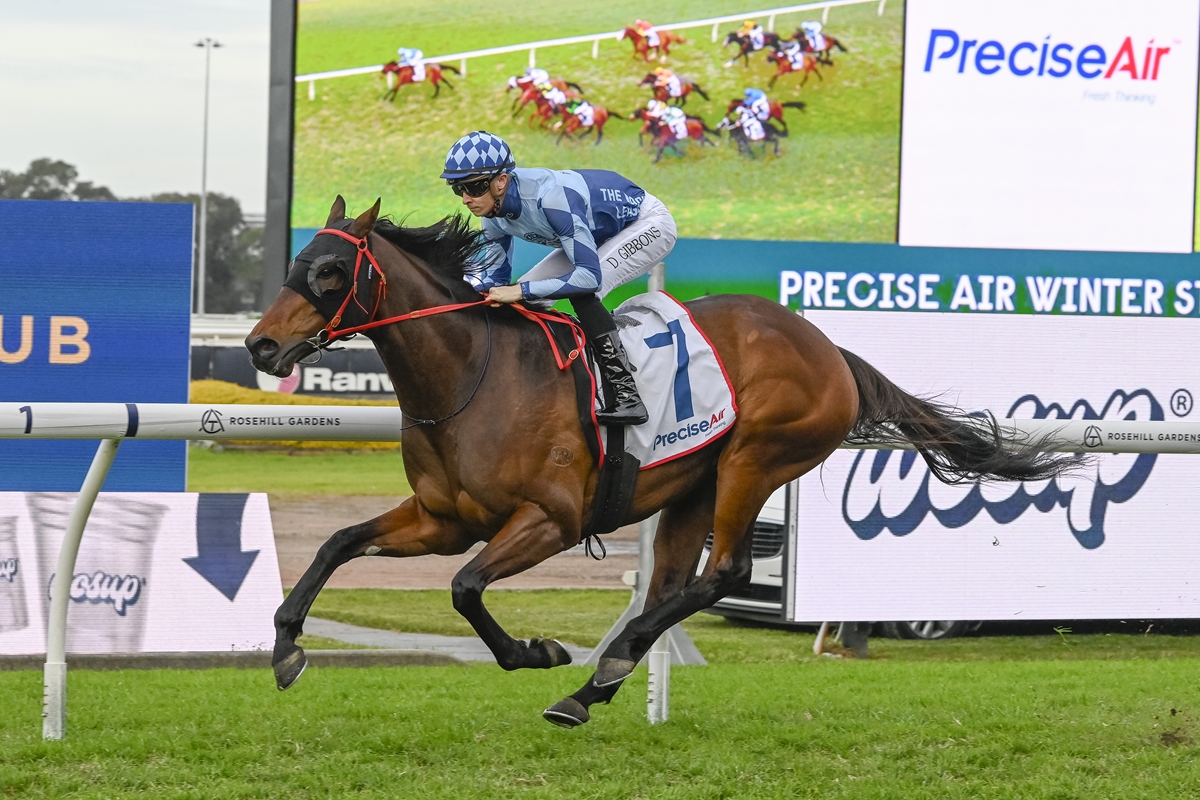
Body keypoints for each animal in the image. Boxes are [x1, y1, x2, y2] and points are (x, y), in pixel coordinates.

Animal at [246, 197, 1076, 728]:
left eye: (329, 272)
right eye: (295, 262)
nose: (259, 345)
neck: (472, 376)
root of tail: (826, 345)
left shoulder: (551, 519)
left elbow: (465, 588)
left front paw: (536, 650)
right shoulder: (442, 519)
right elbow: (337, 544)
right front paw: (286, 648)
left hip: (754, 459)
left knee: (724, 572)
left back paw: (602, 670)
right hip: (691, 488)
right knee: (675, 583)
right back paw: (600, 682)